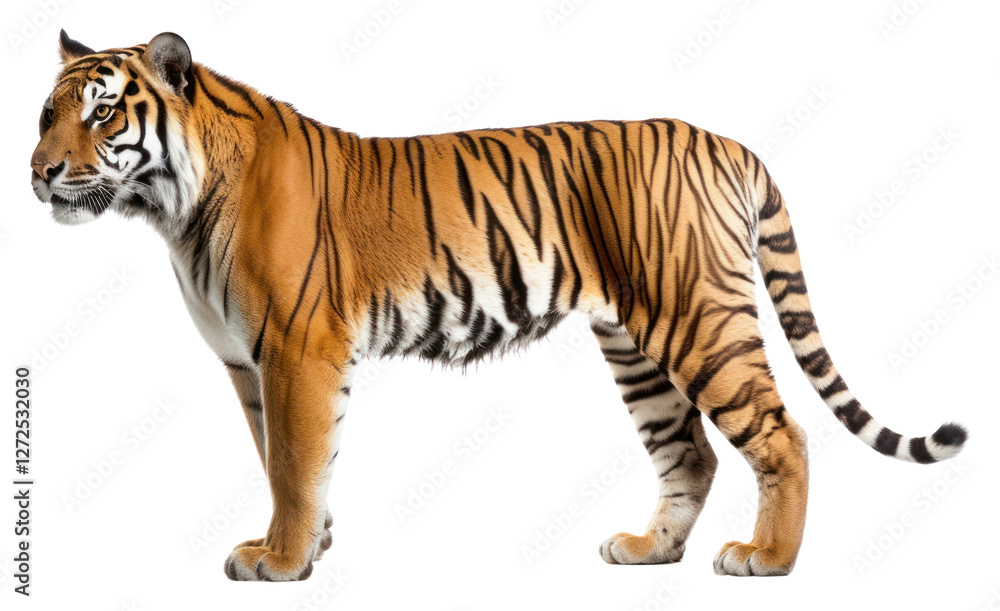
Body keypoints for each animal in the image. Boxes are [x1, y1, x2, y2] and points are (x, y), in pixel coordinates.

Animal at [30, 30, 968, 581]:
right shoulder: (247, 362)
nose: (40, 171)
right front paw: (301, 544)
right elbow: (280, 460)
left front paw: (286, 560)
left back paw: (766, 558)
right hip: (635, 345)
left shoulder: (298, 348)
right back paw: (648, 551)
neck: (172, 207)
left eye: (102, 112)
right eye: (46, 113)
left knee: (781, 433)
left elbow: (295, 462)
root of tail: (726, 140)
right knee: (690, 454)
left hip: (700, 317)